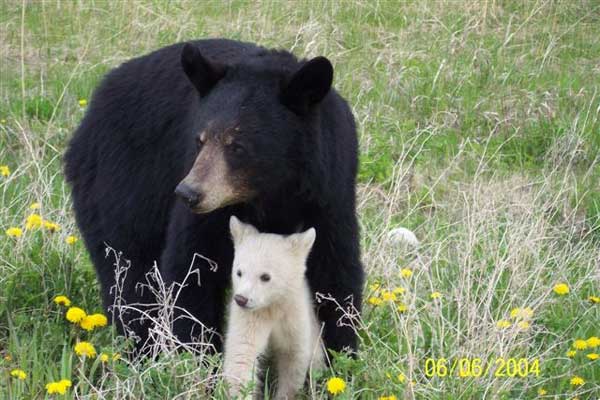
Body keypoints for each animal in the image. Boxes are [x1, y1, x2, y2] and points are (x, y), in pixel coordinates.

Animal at [65, 39, 366, 354]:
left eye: (238, 146)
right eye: (200, 140)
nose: (188, 193)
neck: (272, 191)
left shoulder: (328, 192)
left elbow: (333, 272)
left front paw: (340, 351)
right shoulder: (210, 210)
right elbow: (192, 268)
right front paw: (195, 352)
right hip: (120, 183)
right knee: (128, 270)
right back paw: (140, 344)